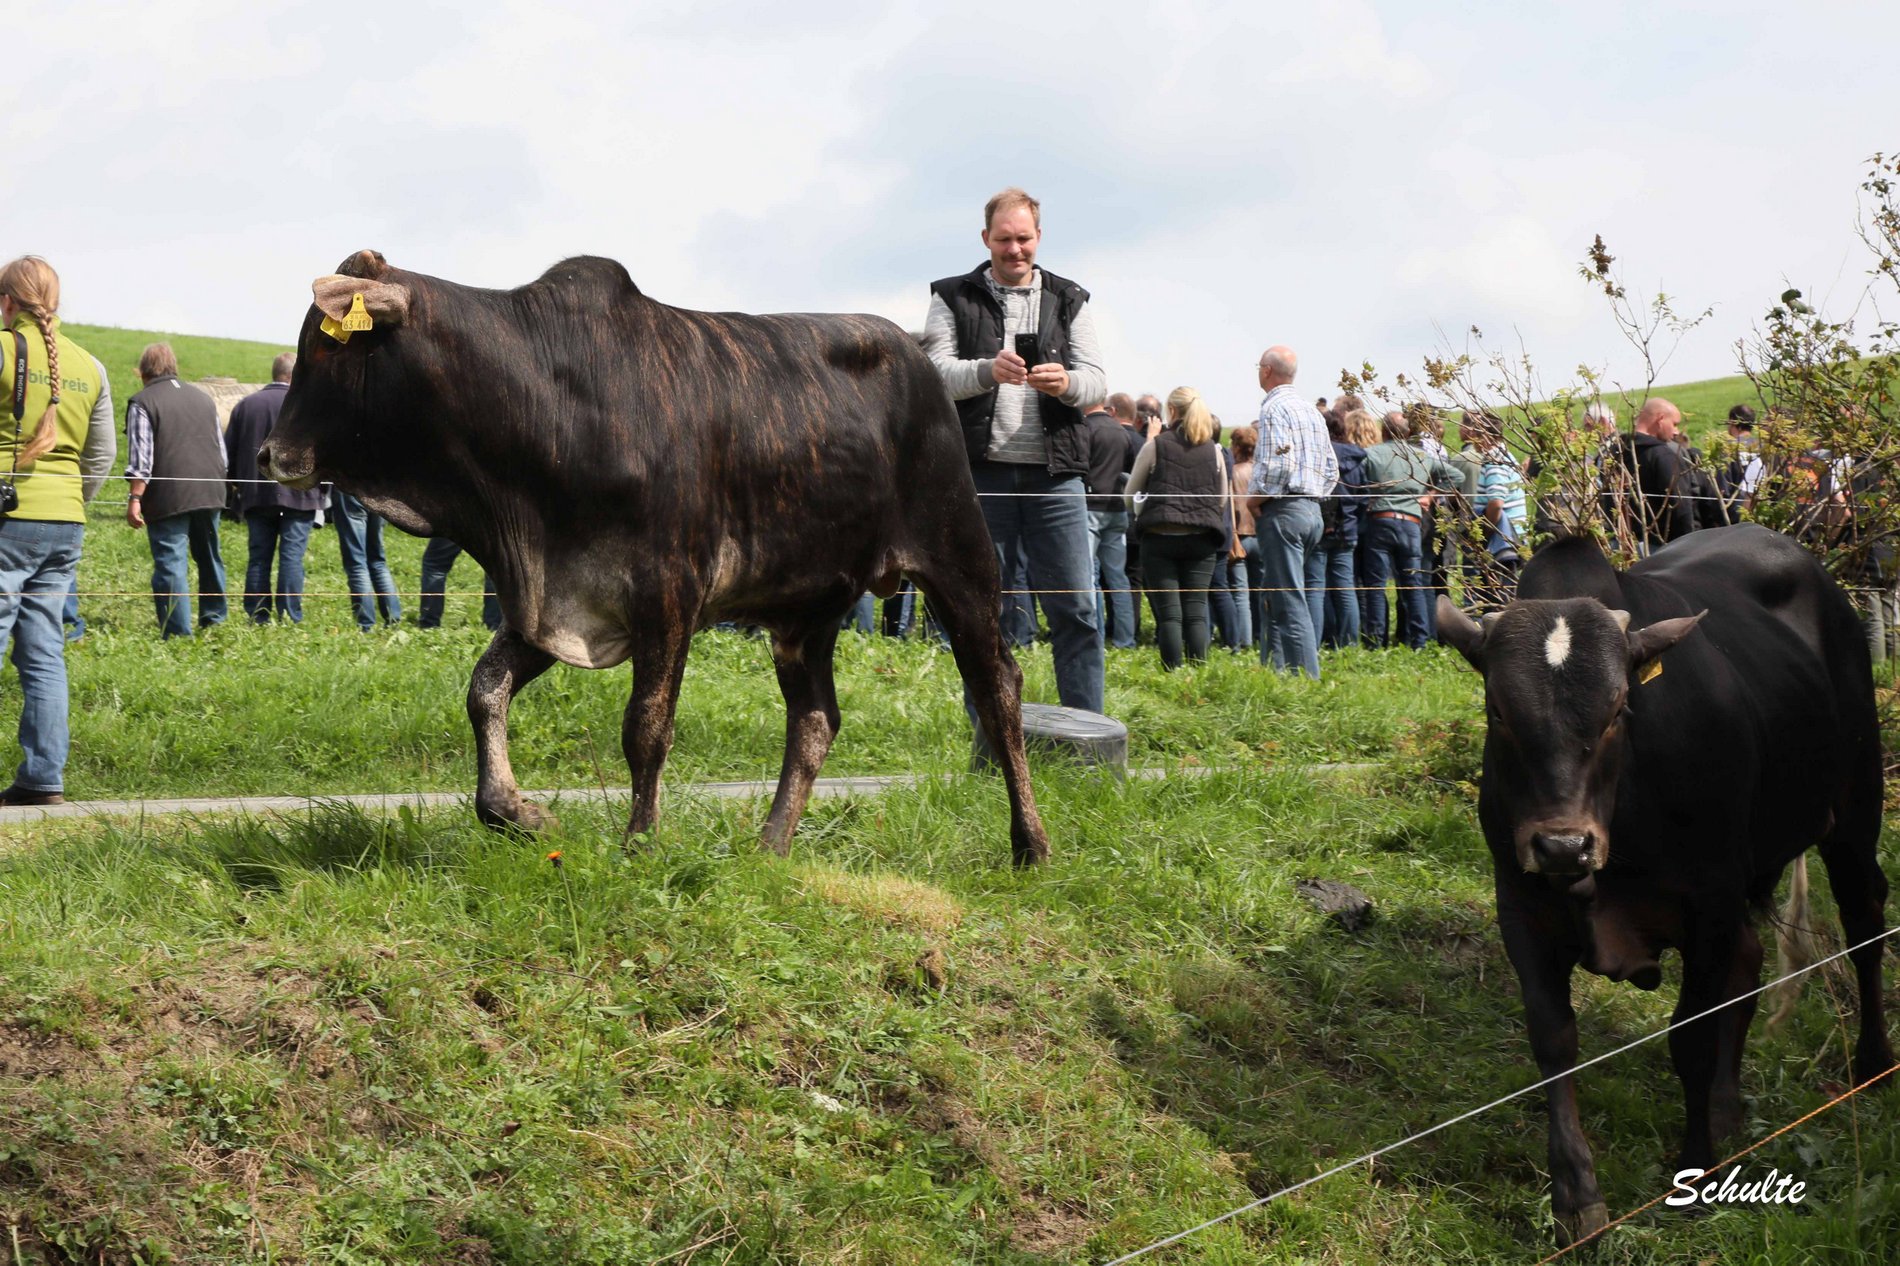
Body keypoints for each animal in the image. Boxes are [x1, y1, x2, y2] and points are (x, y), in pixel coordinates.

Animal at [258, 250, 1051, 865]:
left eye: (328, 345)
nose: (268, 454)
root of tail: (919, 358)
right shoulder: (555, 599)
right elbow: (484, 690)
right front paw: (516, 812)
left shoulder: (667, 593)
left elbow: (645, 728)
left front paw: (639, 844)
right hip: (807, 610)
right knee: (815, 719)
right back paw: (770, 846)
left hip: (959, 557)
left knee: (998, 689)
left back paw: (1030, 844)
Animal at [1435, 524, 1892, 1246]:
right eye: (1498, 710)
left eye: (1620, 707)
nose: (1563, 845)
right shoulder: (1522, 905)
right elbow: (1554, 1039)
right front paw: (1576, 1197)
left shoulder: (1707, 903)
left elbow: (1691, 1039)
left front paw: (1695, 1175)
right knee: (1751, 962)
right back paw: (1729, 1110)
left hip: (1852, 808)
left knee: (1864, 920)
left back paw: (1872, 1063)